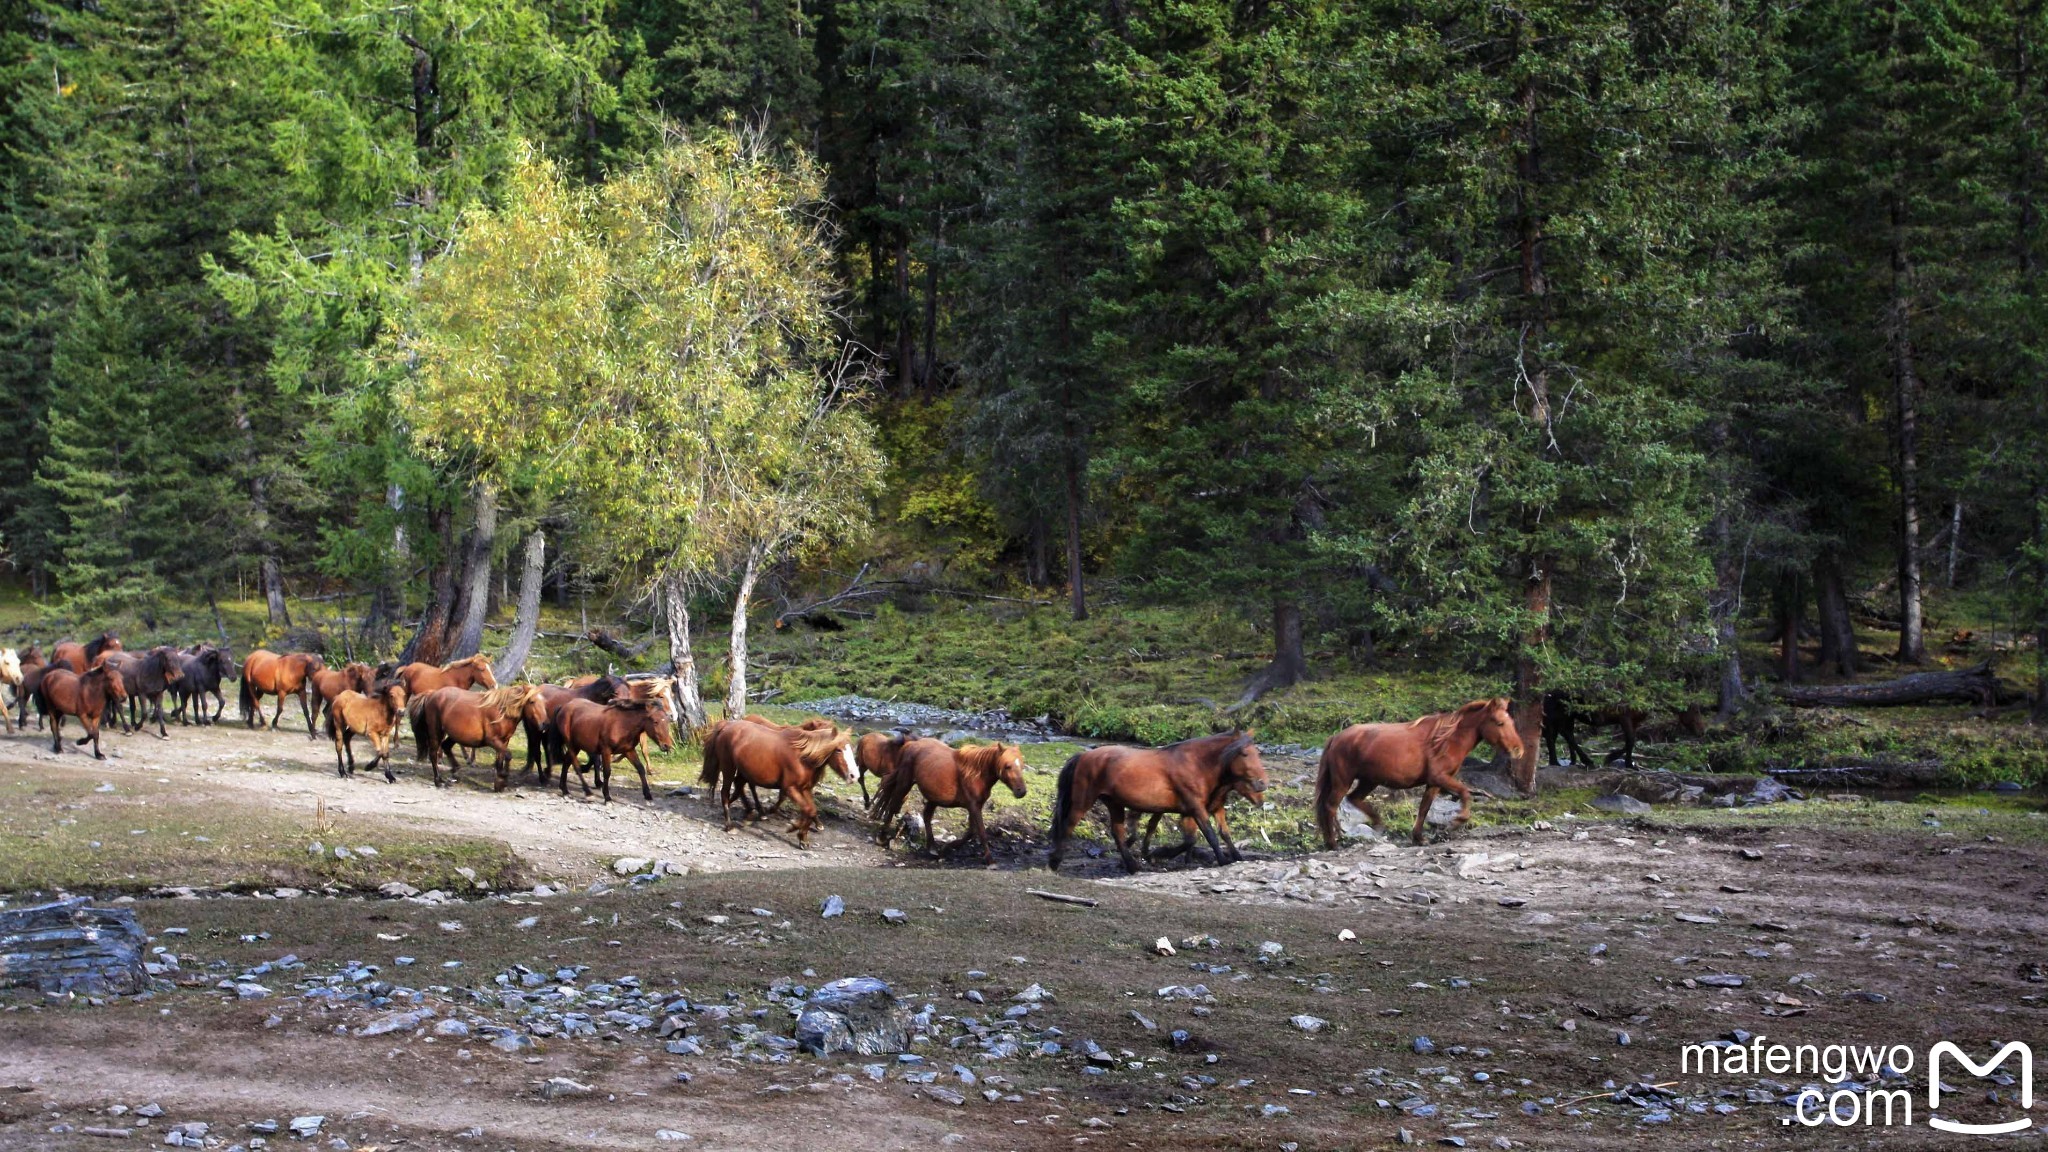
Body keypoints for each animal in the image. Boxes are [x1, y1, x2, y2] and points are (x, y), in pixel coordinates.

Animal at [409, 680, 544, 787]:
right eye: (531, 701)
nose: (543, 724)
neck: (502, 712)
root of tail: (431, 694)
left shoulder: (504, 742)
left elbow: (500, 759)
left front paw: (499, 782)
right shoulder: (493, 740)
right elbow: (508, 756)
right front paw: (502, 778)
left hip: (454, 735)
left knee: (446, 747)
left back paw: (455, 771)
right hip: (436, 732)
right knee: (433, 754)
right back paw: (438, 780)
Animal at [700, 717, 851, 844]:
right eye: (837, 750)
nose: (852, 775)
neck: (803, 753)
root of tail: (726, 725)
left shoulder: (804, 787)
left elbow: (810, 808)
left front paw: (808, 830)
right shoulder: (790, 787)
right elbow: (796, 803)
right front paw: (794, 827)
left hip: (744, 770)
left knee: (739, 786)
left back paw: (751, 811)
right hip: (729, 767)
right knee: (727, 791)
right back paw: (731, 824)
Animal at [868, 733, 1024, 860]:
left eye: (1022, 766)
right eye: (1007, 766)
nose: (1021, 791)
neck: (976, 773)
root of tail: (911, 744)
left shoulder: (975, 806)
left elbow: (971, 832)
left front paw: (947, 847)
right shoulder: (973, 806)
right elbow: (980, 832)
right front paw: (990, 860)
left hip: (932, 796)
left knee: (926, 816)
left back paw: (932, 848)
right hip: (905, 782)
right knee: (893, 805)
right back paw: (882, 837)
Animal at [1048, 725, 1269, 869]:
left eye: (1256, 753)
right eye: (1244, 753)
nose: (1262, 784)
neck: (1197, 765)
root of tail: (1083, 756)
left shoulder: (1205, 809)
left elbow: (1219, 835)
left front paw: (1236, 857)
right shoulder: (1195, 808)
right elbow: (1209, 835)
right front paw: (1221, 860)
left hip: (1114, 803)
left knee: (1118, 833)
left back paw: (1133, 866)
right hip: (1083, 801)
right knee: (1068, 826)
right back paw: (1055, 862)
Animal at [1318, 688, 1531, 844]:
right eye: (1500, 723)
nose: (1518, 750)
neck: (1446, 740)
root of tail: (1336, 737)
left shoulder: (1434, 783)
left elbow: (1424, 808)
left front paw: (1419, 838)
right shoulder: (1441, 777)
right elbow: (1465, 793)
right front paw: (1456, 822)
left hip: (1369, 781)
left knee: (1353, 799)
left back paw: (1377, 824)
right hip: (1343, 780)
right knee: (1330, 805)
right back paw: (1333, 842)